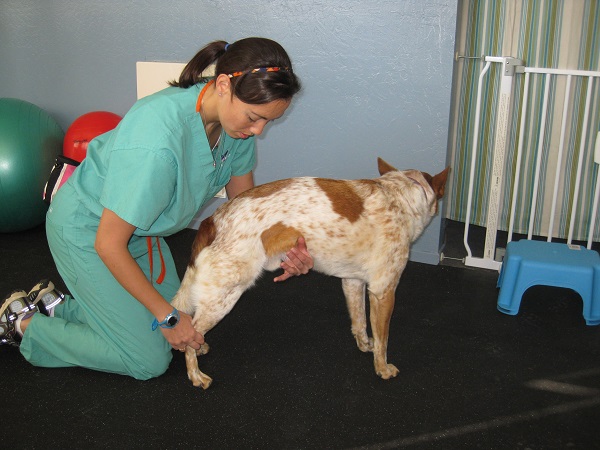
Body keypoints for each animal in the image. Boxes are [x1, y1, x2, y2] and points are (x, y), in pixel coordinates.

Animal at [171, 157, 448, 386]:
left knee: (193, 328)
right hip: (225, 296)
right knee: (190, 331)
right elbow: (383, 341)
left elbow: (359, 323)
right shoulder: (384, 291)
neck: (399, 196)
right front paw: (383, 368)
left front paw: (363, 344)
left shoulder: (352, 282)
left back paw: (201, 347)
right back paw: (196, 375)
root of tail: (211, 221)